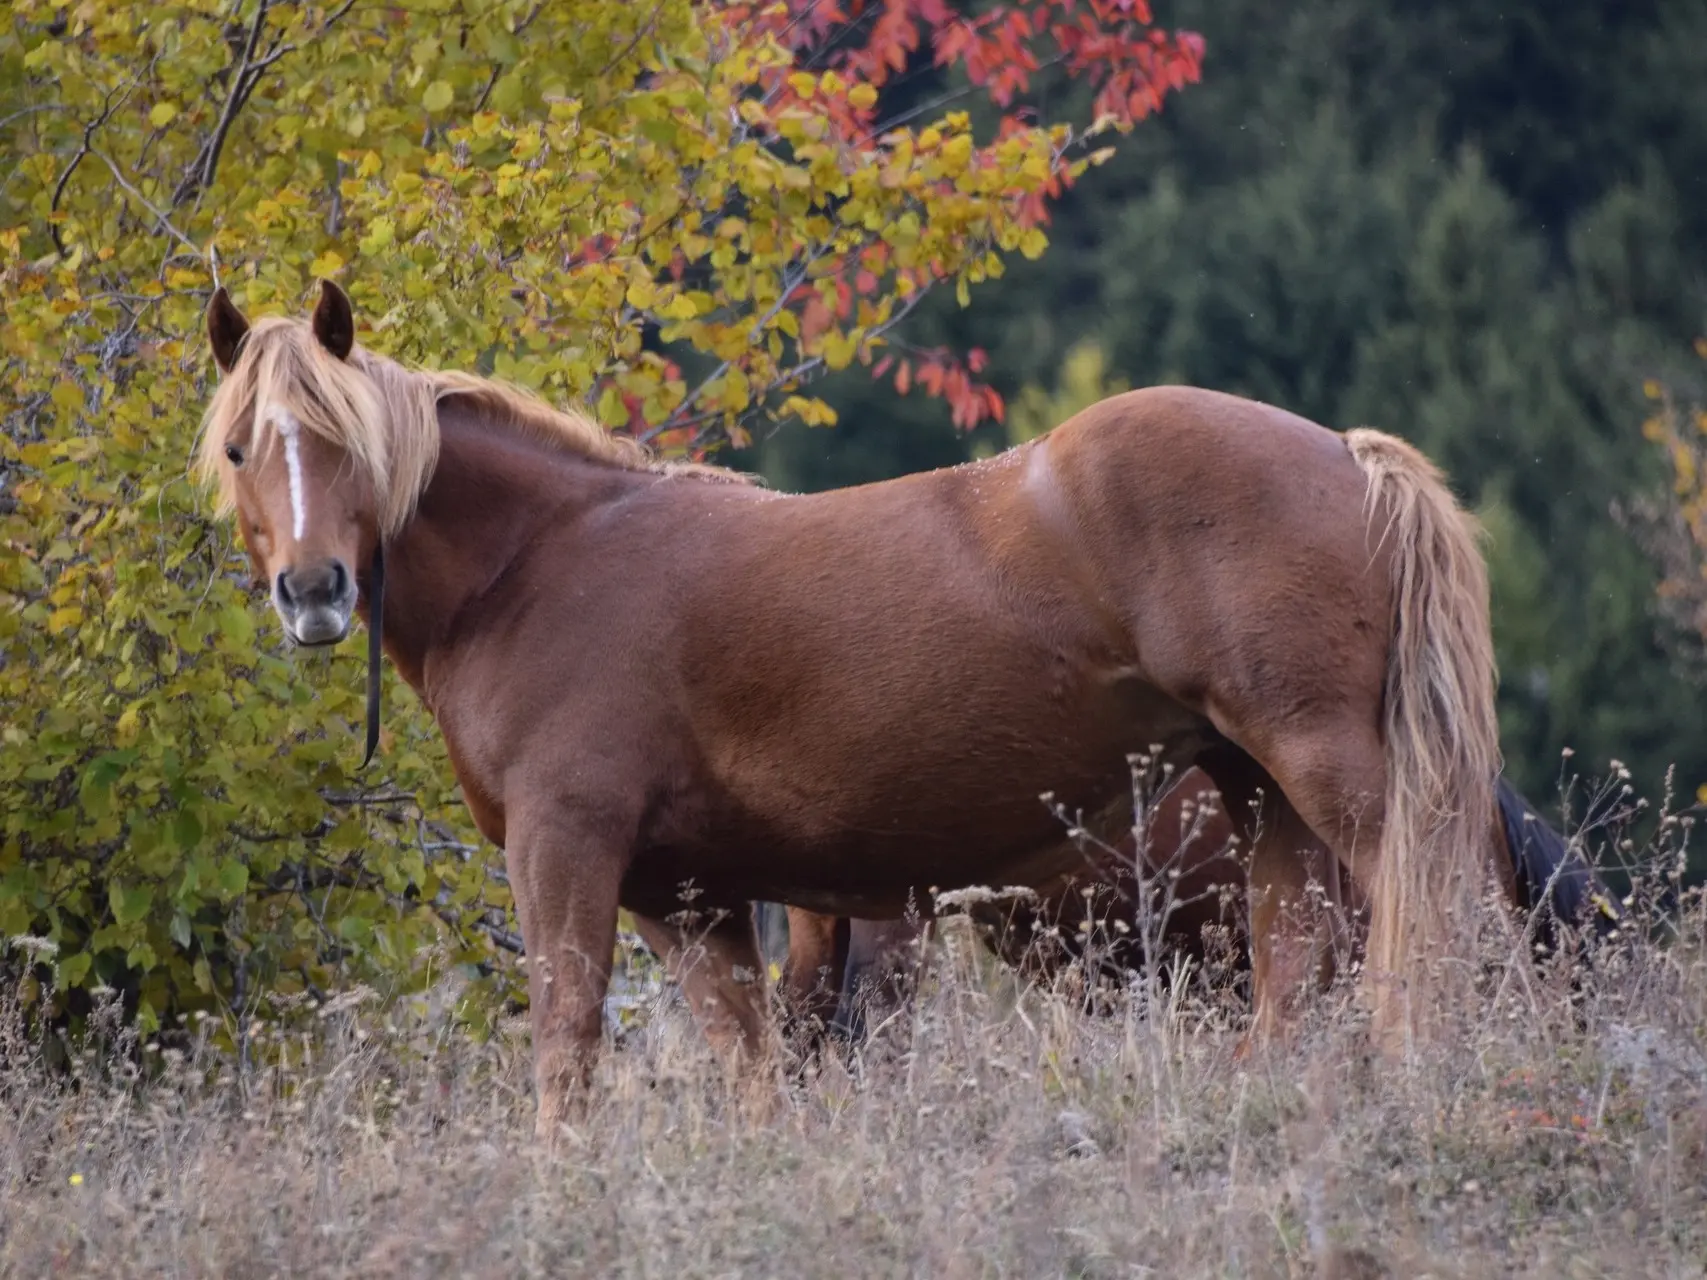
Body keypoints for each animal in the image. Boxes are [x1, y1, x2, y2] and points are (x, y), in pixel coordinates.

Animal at [203, 279, 1508, 1133]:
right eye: (237, 450)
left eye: (341, 440)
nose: (312, 591)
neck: (543, 558)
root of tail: (1345, 452)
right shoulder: (686, 893)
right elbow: (750, 1063)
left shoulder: (567, 848)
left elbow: (567, 1041)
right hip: (1255, 785)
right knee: (1297, 960)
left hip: (1327, 769)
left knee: (1425, 913)